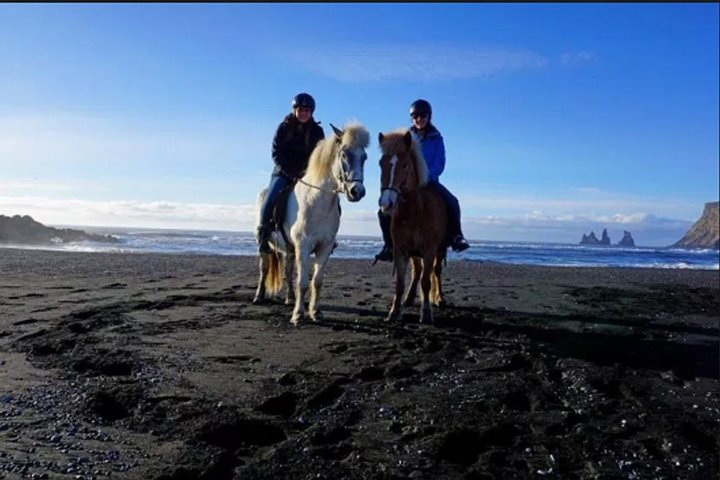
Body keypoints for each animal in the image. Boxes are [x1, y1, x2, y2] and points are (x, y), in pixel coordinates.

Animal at [253, 122, 370, 325]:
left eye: (364, 157)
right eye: (344, 154)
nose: (357, 191)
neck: (317, 201)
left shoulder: (325, 246)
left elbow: (317, 281)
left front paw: (315, 312)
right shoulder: (304, 245)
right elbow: (303, 282)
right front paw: (298, 315)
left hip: (290, 248)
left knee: (288, 270)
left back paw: (289, 298)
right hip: (266, 245)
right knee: (264, 268)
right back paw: (259, 296)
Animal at [377, 129, 448, 324]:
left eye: (404, 165)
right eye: (381, 164)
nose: (386, 203)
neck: (415, 211)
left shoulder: (430, 249)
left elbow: (426, 281)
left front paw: (427, 313)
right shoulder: (400, 249)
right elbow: (400, 283)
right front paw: (394, 312)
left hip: (439, 251)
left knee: (436, 272)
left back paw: (439, 299)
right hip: (415, 254)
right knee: (417, 272)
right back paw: (408, 299)